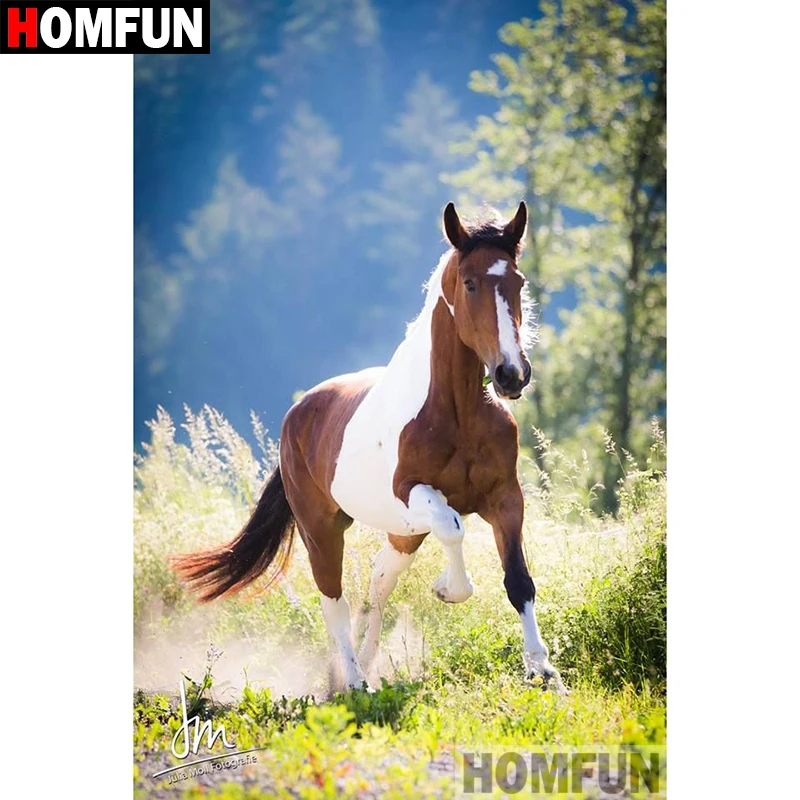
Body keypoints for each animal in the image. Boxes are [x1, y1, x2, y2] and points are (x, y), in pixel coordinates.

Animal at [172, 201, 563, 692]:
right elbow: (453, 527)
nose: (512, 374)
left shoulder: (506, 498)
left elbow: (519, 580)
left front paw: (543, 671)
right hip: (322, 531)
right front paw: (448, 589)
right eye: (470, 283)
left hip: (404, 533)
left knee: (378, 584)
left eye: (518, 282)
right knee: (333, 599)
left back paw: (363, 664)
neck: (456, 412)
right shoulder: (412, 492)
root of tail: (295, 416)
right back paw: (355, 682)